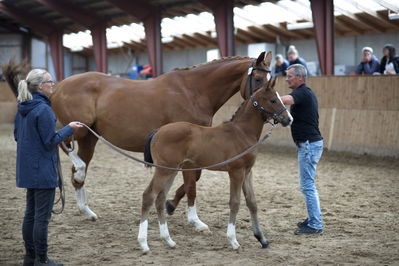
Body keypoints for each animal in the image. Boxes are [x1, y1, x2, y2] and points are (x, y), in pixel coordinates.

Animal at [141, 77, 294, 254]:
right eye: (273, 100)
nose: (289, 119)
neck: (242, 132)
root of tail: (158, 131)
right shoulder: (236, 172)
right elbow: (235, 203)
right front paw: (233, 240)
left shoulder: (248, 172)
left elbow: (252, 203)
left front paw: (262, 239)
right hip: (163, 171)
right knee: (149, 196)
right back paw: (143, 244)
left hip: (171, 171)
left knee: (160, 199)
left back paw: (169, 241)